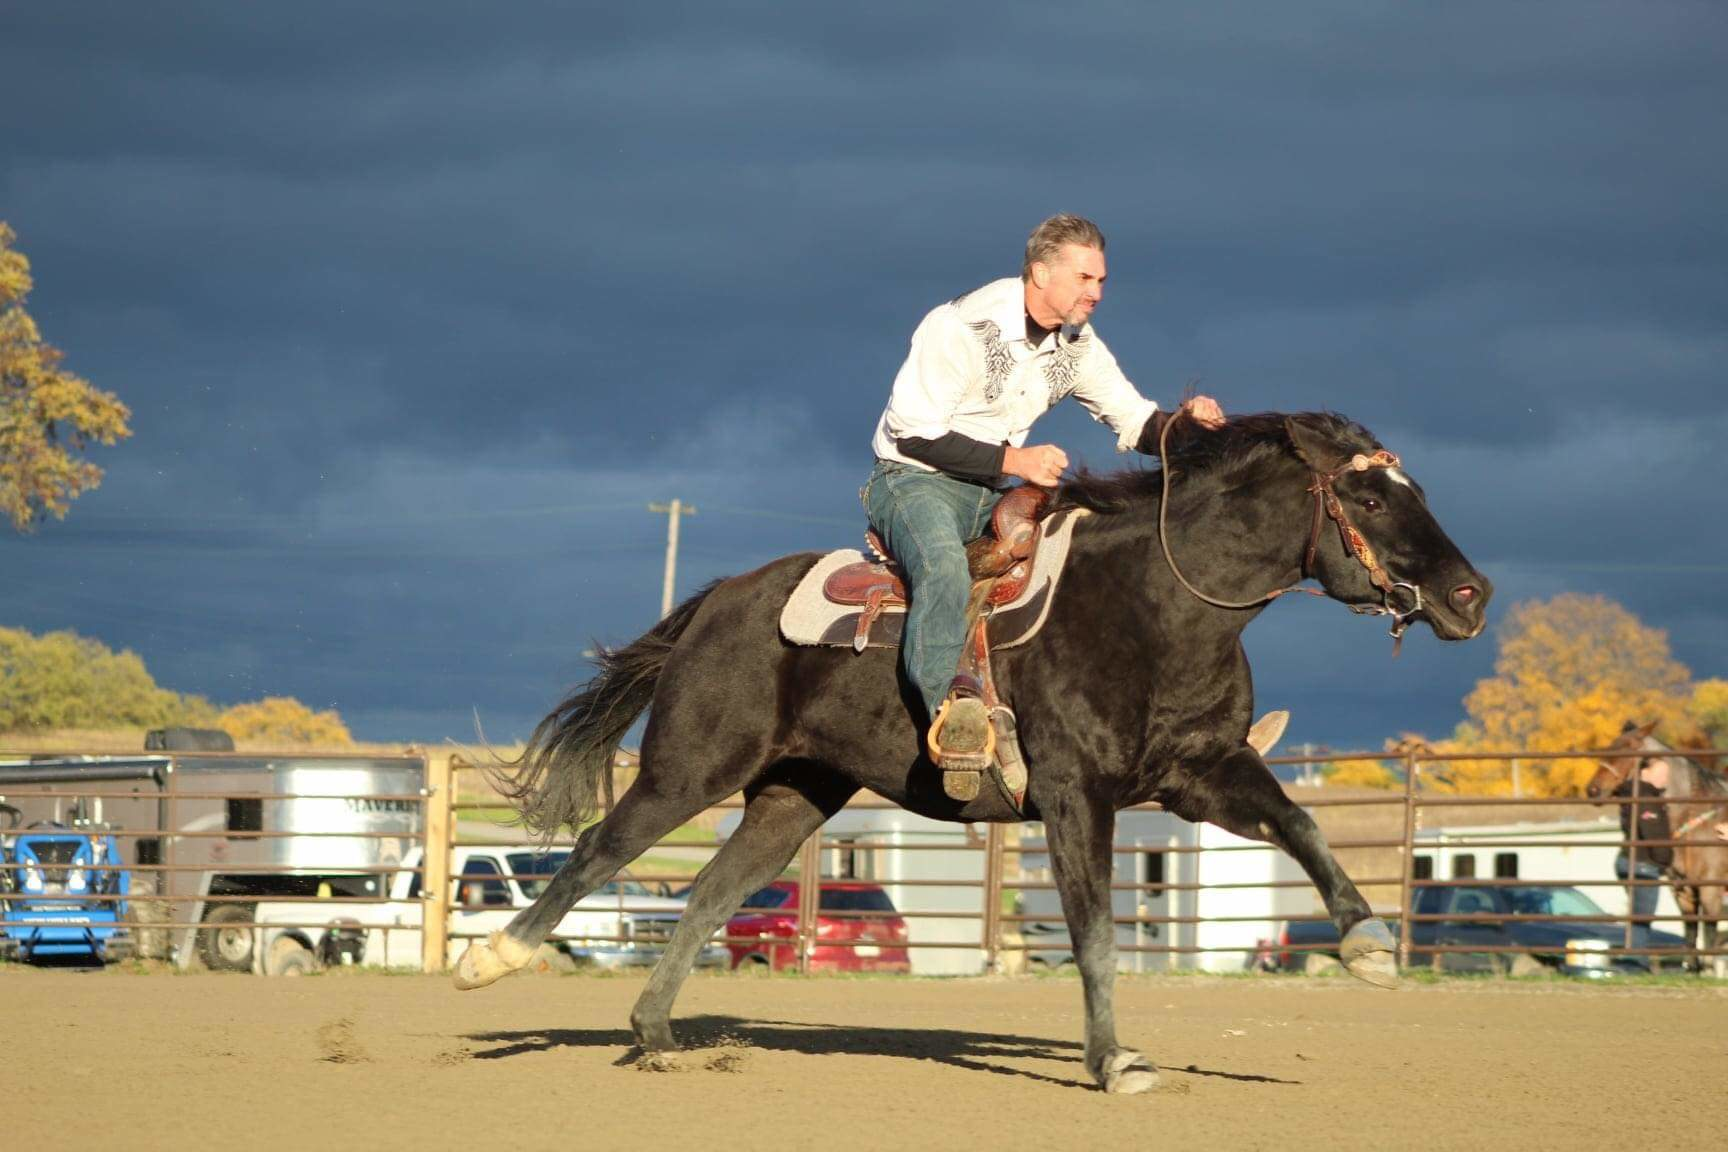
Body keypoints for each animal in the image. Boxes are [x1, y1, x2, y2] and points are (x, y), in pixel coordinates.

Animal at [454, 411, 1492, 1094]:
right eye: (1368, 493)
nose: (1471, 595)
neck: (1156, 607)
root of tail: (719, 601)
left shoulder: (1201, 776)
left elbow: (1301, 822)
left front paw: (1367, 943)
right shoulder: (1077, 796)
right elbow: (1094, 932)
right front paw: (1114, 1061)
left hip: (794, 796)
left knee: (711, 892)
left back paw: (657, 1032)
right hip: (690, 768)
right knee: (599, 851)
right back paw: (489, 965)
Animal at [1587, 723, 1728, 975]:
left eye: (1627, 751)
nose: (1592, 790)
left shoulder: (1710, 888)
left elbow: (1709, 928)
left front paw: (1709, 970)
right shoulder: (1683, 890)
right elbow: (1690, 927)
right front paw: (1692, 969)